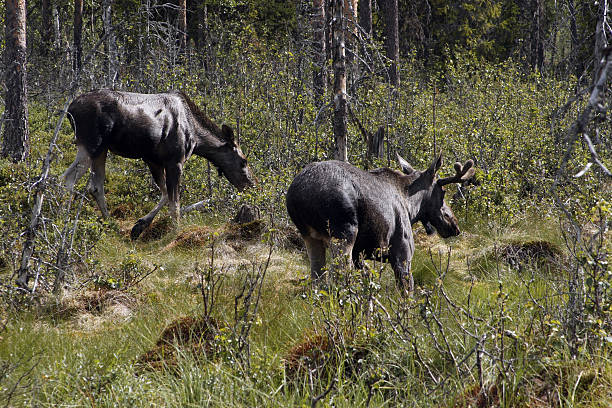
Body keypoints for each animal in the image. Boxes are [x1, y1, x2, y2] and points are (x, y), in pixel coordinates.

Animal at [62, 88, 253, 239]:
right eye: (243, 161)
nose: (251, 184)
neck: (196, 138)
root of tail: (70, 109)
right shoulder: (175, 160)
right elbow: (175, 202)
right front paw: (176, 230)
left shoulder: (153, 160)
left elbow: (165, 194)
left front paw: (139, 226)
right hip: (91, 144)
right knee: (68, 179)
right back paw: (64, 220)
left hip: (102, 149)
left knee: (95, 186)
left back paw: (110, 224)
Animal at [284, 152, 476, 290]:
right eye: (443, 192)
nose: (454, 225)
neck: (410, 206)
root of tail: (299, 194)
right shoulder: (402, 251)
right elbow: (407, 290)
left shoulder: (360, 253)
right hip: (344, 233)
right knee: (340, 274)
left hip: (310, 236)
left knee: (317, 278)